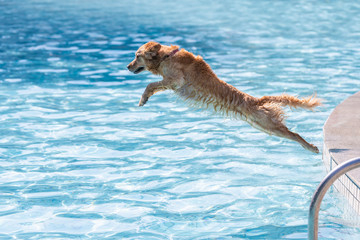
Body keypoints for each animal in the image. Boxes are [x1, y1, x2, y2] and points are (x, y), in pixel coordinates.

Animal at [126, 41, 320, 153]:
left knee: (295, 134)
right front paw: (145, 98)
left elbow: (151, 84)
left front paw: (143, 98)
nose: (127, 67)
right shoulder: (169, 82)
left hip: (269, 125)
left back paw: (311, 147)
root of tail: (257, 101)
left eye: (137, 56)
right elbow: (154, 86)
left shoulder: (175, 80)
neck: (165, 56)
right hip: (263, 126)